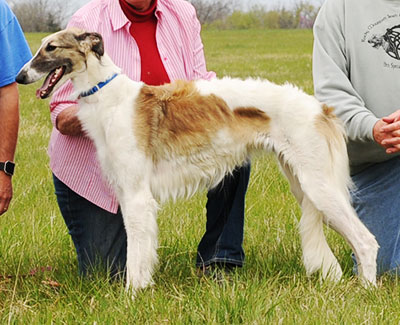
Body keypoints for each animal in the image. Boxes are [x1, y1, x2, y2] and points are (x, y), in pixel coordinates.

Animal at [16, 27, 378, 292]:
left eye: (50, 47)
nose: (19, 77)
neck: (110, 96)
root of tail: (322, 108)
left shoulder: (136, 196)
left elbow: (135, 255)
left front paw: (131, 296)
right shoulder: (128, 193)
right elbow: (143, 252)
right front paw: (142, 289)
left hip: (319, 186)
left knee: (367, 241)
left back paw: (367, 291)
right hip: (304, 186)